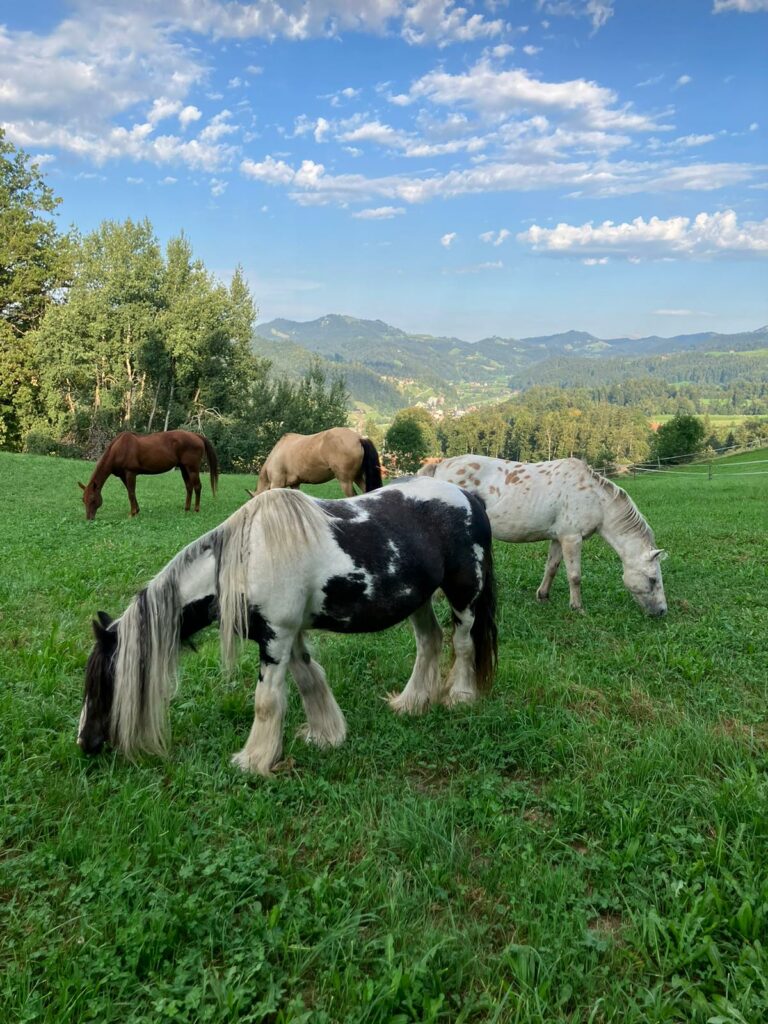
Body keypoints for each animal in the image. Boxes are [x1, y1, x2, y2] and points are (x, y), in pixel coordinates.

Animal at [78, 430, 219, 520]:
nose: (89, 519)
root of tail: (196, 435)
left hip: (192, 468)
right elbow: (131, 492)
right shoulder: (123, 476)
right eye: (83, 500)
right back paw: (186, 509)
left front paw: (132, 513)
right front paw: (136, 511)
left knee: (197, 487)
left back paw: (196, 509)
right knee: (189, 487)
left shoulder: (130, 473)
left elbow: (131, 493)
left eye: (93, 499)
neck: (119, 449)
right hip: (184, 468)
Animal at [78, 475, 499, 770]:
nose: (85, 743)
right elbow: (310, 680)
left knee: (462, 644)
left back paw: (459, 698)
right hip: (419, 599)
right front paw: (325, 736)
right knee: (430, 641)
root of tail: (469, 497)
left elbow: (266, 701)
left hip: (465, 595)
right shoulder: (287, 635)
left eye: (103, 682)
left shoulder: (276, 637)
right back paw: (411, 703)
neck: (246, 560)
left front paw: (253, 761)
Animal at [421, 456, 667, 614]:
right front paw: (578, 608)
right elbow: (575, 576)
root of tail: (440, 466)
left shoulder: (558, 538)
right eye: (653, 579)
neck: (596, 499)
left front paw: (543, 596)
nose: (662, 611)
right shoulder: (572, 538)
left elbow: (552, 568)